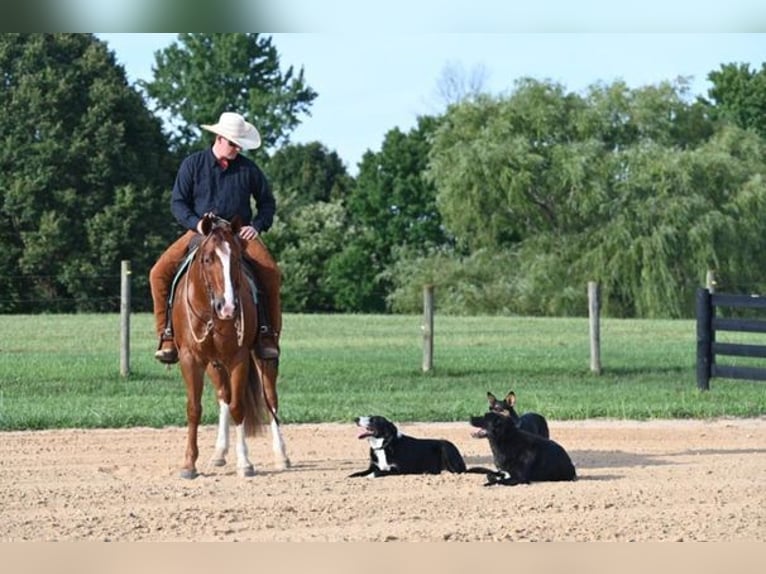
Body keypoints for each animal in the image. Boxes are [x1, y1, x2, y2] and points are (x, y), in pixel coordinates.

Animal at [172, 214, 292, 480]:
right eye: (207, 259)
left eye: (236, 258)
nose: (227, 307)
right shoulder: (191, 358)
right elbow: (194, 408)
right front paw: (188, 464)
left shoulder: (239, 357)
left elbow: (239, 407)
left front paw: (245, 463)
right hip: (214, 364)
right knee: (223, 396)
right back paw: (219, 453)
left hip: (263, 357)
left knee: (270, 398)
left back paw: (282, 455)